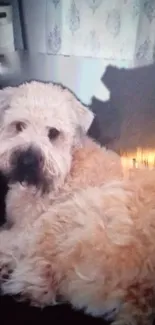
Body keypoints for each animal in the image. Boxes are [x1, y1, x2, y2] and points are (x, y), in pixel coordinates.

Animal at [0, 81, 155, 324]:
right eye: (19, 126)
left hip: (61, 219)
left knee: (39, 284)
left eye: (53, 133)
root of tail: (140, 291)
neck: (69, 168)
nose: (27, 160)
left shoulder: (26, 229)